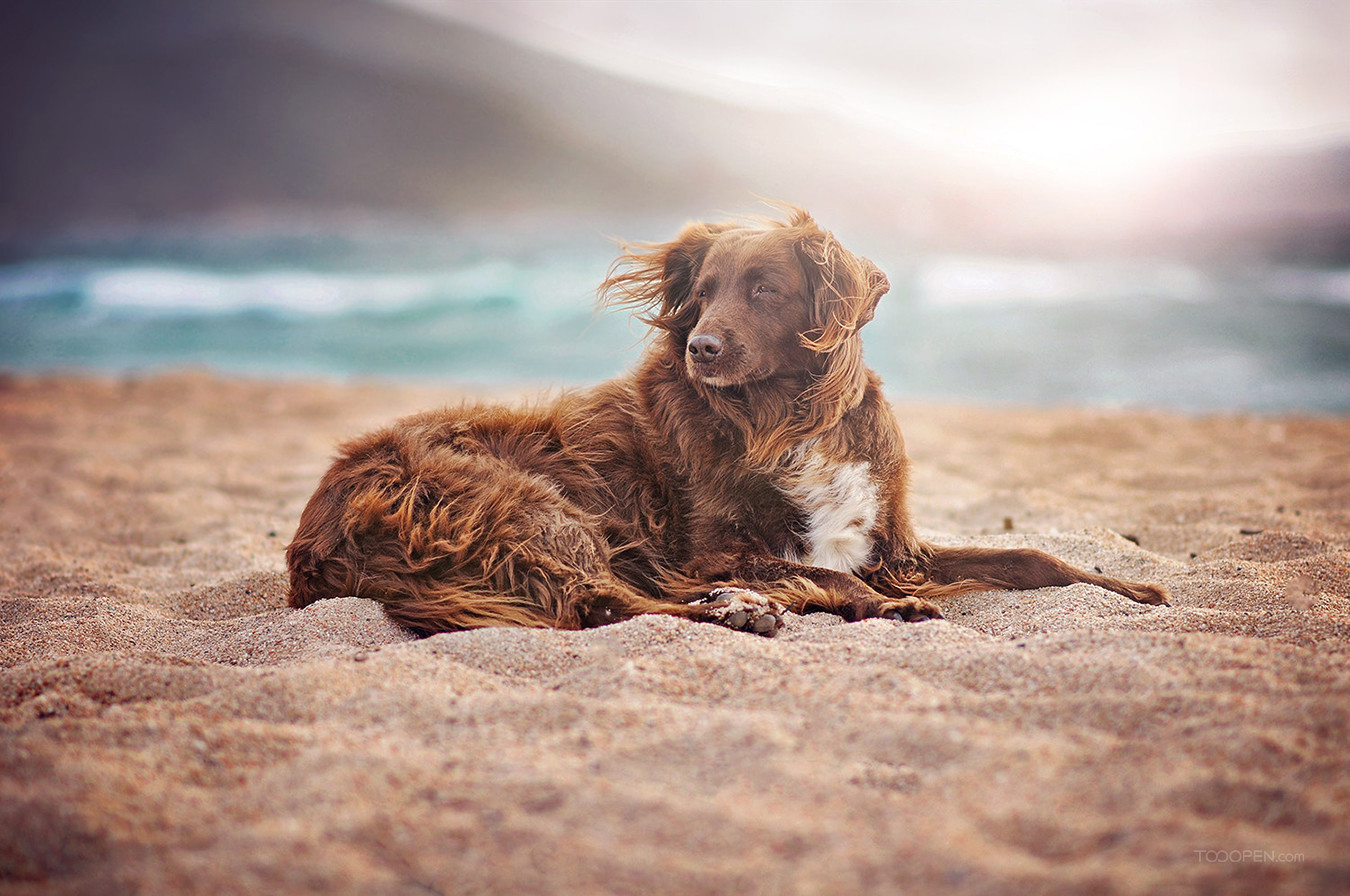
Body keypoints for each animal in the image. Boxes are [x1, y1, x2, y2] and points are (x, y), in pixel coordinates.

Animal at [287, 206, 1171, 634]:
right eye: (704, 291)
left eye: (765, 290)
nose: (702, 348)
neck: (788, 419)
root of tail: (314, 537)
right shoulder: (710, 551)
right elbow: (828, 575)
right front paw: (882, 608)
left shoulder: (895, 544)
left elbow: (1033, 555)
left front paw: (1125, 586)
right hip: (534, 508)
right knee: (599, 604)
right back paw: (739, 612)